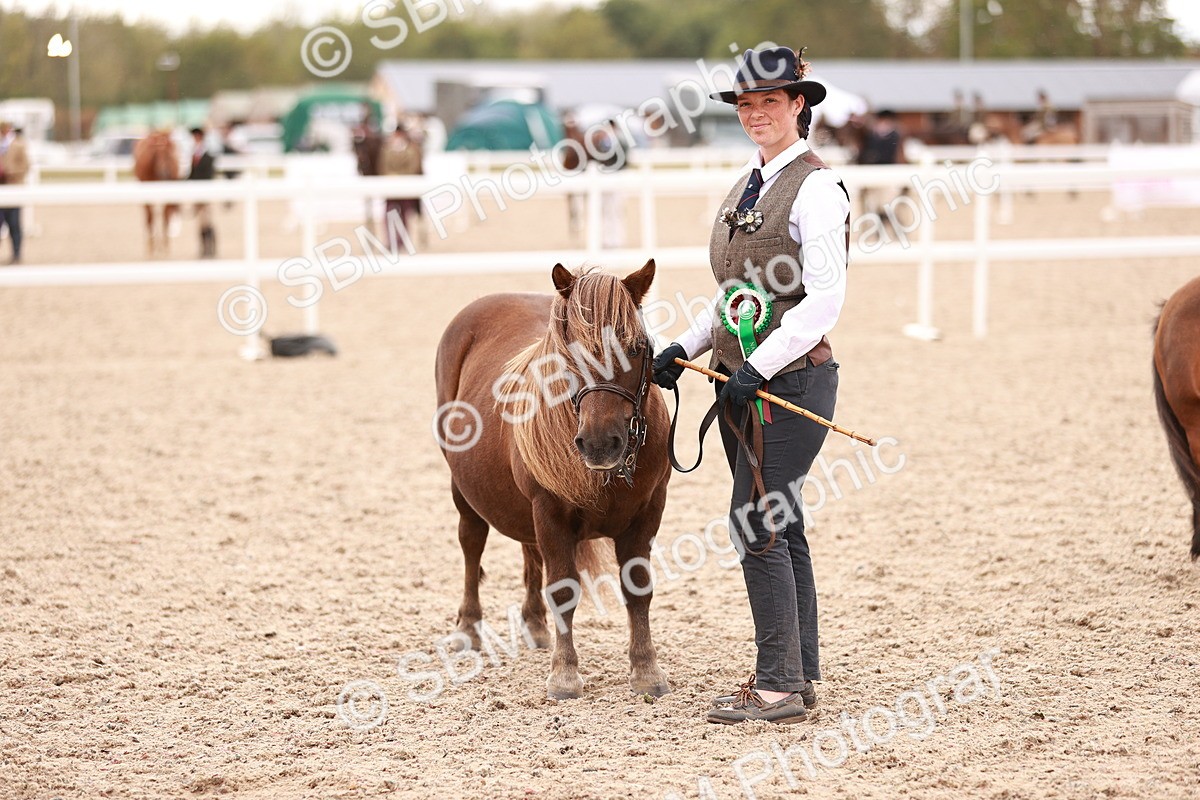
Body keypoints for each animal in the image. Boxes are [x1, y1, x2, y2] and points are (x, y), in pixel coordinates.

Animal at [434, 260, 672, 700]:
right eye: (571, 352)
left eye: (635, 348)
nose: (599, 443)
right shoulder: (549, 511)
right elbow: (562, 589)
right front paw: (564, 674)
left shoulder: (648, 513)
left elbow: (638, 587)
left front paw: (647, 670)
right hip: (463, 490)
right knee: (472, 544)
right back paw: (469, 628)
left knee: (530, 552)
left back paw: (535, 623)